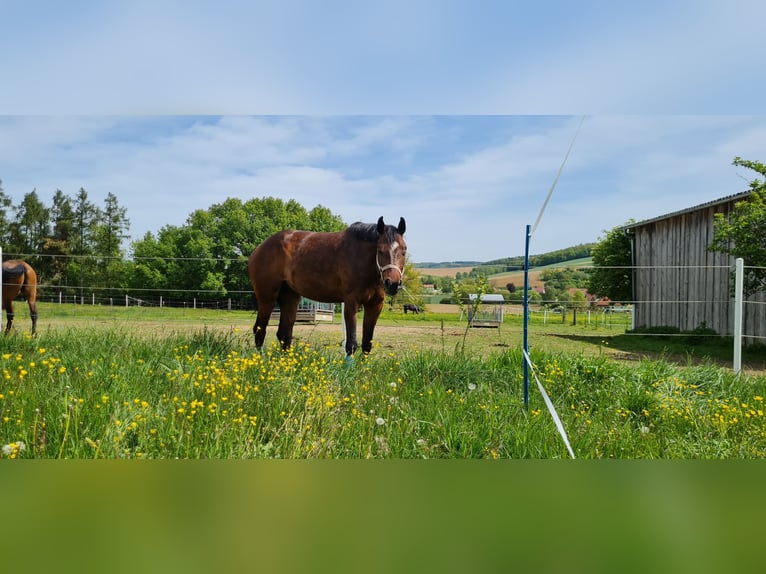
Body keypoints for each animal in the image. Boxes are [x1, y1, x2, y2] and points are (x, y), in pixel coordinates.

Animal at [248, 216, 407, 356]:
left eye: (404, 250)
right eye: (380, 250)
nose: (393, 283)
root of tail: (259, 249)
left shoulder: (375, 305)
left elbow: (367, 344)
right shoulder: (351, 303)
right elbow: (351, 344)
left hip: (290, 297)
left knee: (284, 335)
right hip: (266, 298)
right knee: (260, 330)